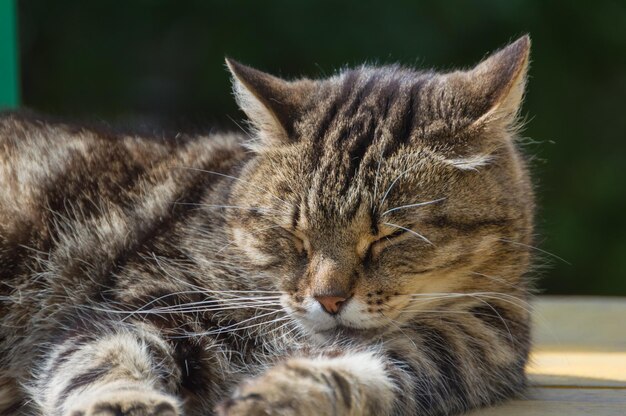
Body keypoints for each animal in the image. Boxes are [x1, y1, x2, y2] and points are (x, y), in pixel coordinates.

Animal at [0, 35, 532, 416]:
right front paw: (130, 402)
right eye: (293, 234)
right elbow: (103, 361)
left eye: (390, 235)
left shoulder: (445, 353)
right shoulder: (136, 306)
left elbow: (356, 374)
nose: (329, 299)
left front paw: (282, 394)